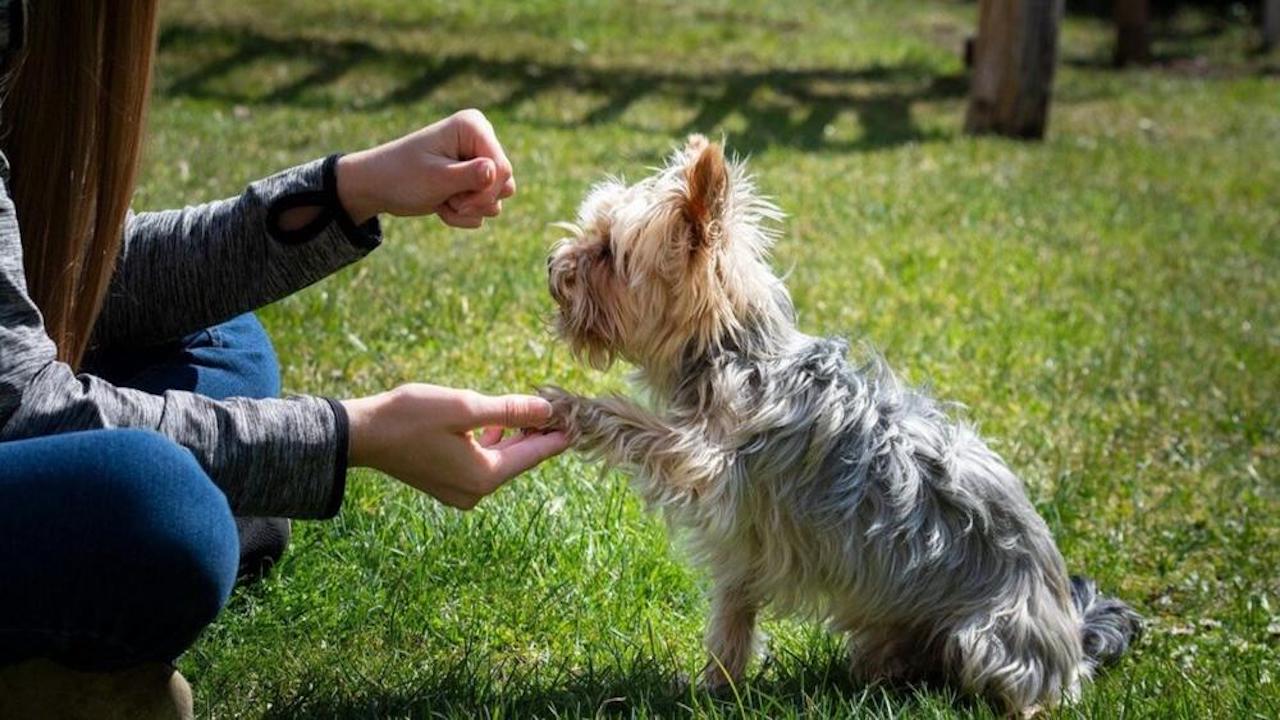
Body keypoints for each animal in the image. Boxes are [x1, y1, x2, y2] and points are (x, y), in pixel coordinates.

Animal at [540, 134, 1141, 712]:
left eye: (607, 252)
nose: (551, 264)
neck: (735, 352)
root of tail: (1073, 635)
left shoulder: (706, 459)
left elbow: (637, 425)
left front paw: (570, 406)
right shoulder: (744, 542)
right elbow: (733, 616)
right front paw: (716, 686)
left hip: (990, 638)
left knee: (1028, 694)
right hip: (894, 628)